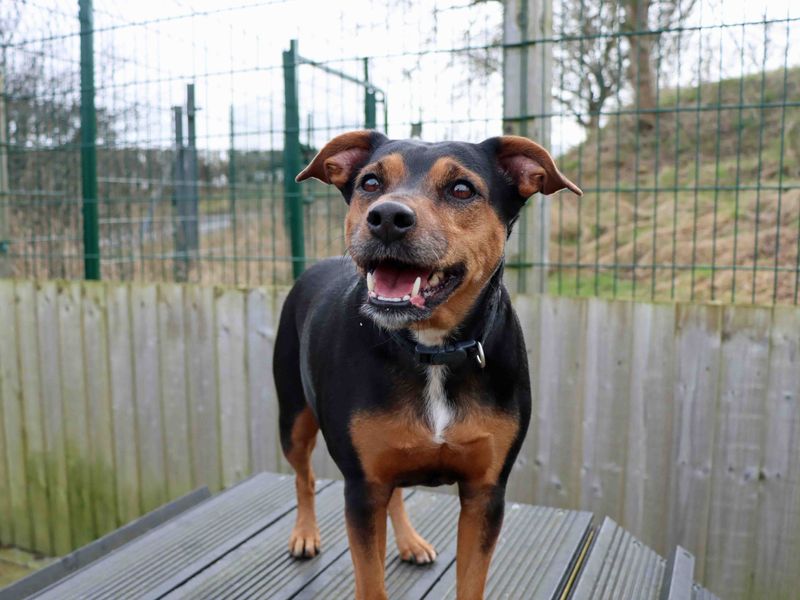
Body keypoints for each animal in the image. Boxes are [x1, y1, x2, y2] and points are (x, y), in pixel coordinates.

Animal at [276, 132, 580, 600]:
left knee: (395, 493)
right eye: (370, 183)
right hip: (292, 416)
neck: (432, 349)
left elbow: (471, 582)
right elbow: (371, 582)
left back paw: (409, 542)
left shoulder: (485, 492)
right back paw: (305, 534)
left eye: (462, 189)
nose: (387, 217)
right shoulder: (363, 487)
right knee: (303, 477)